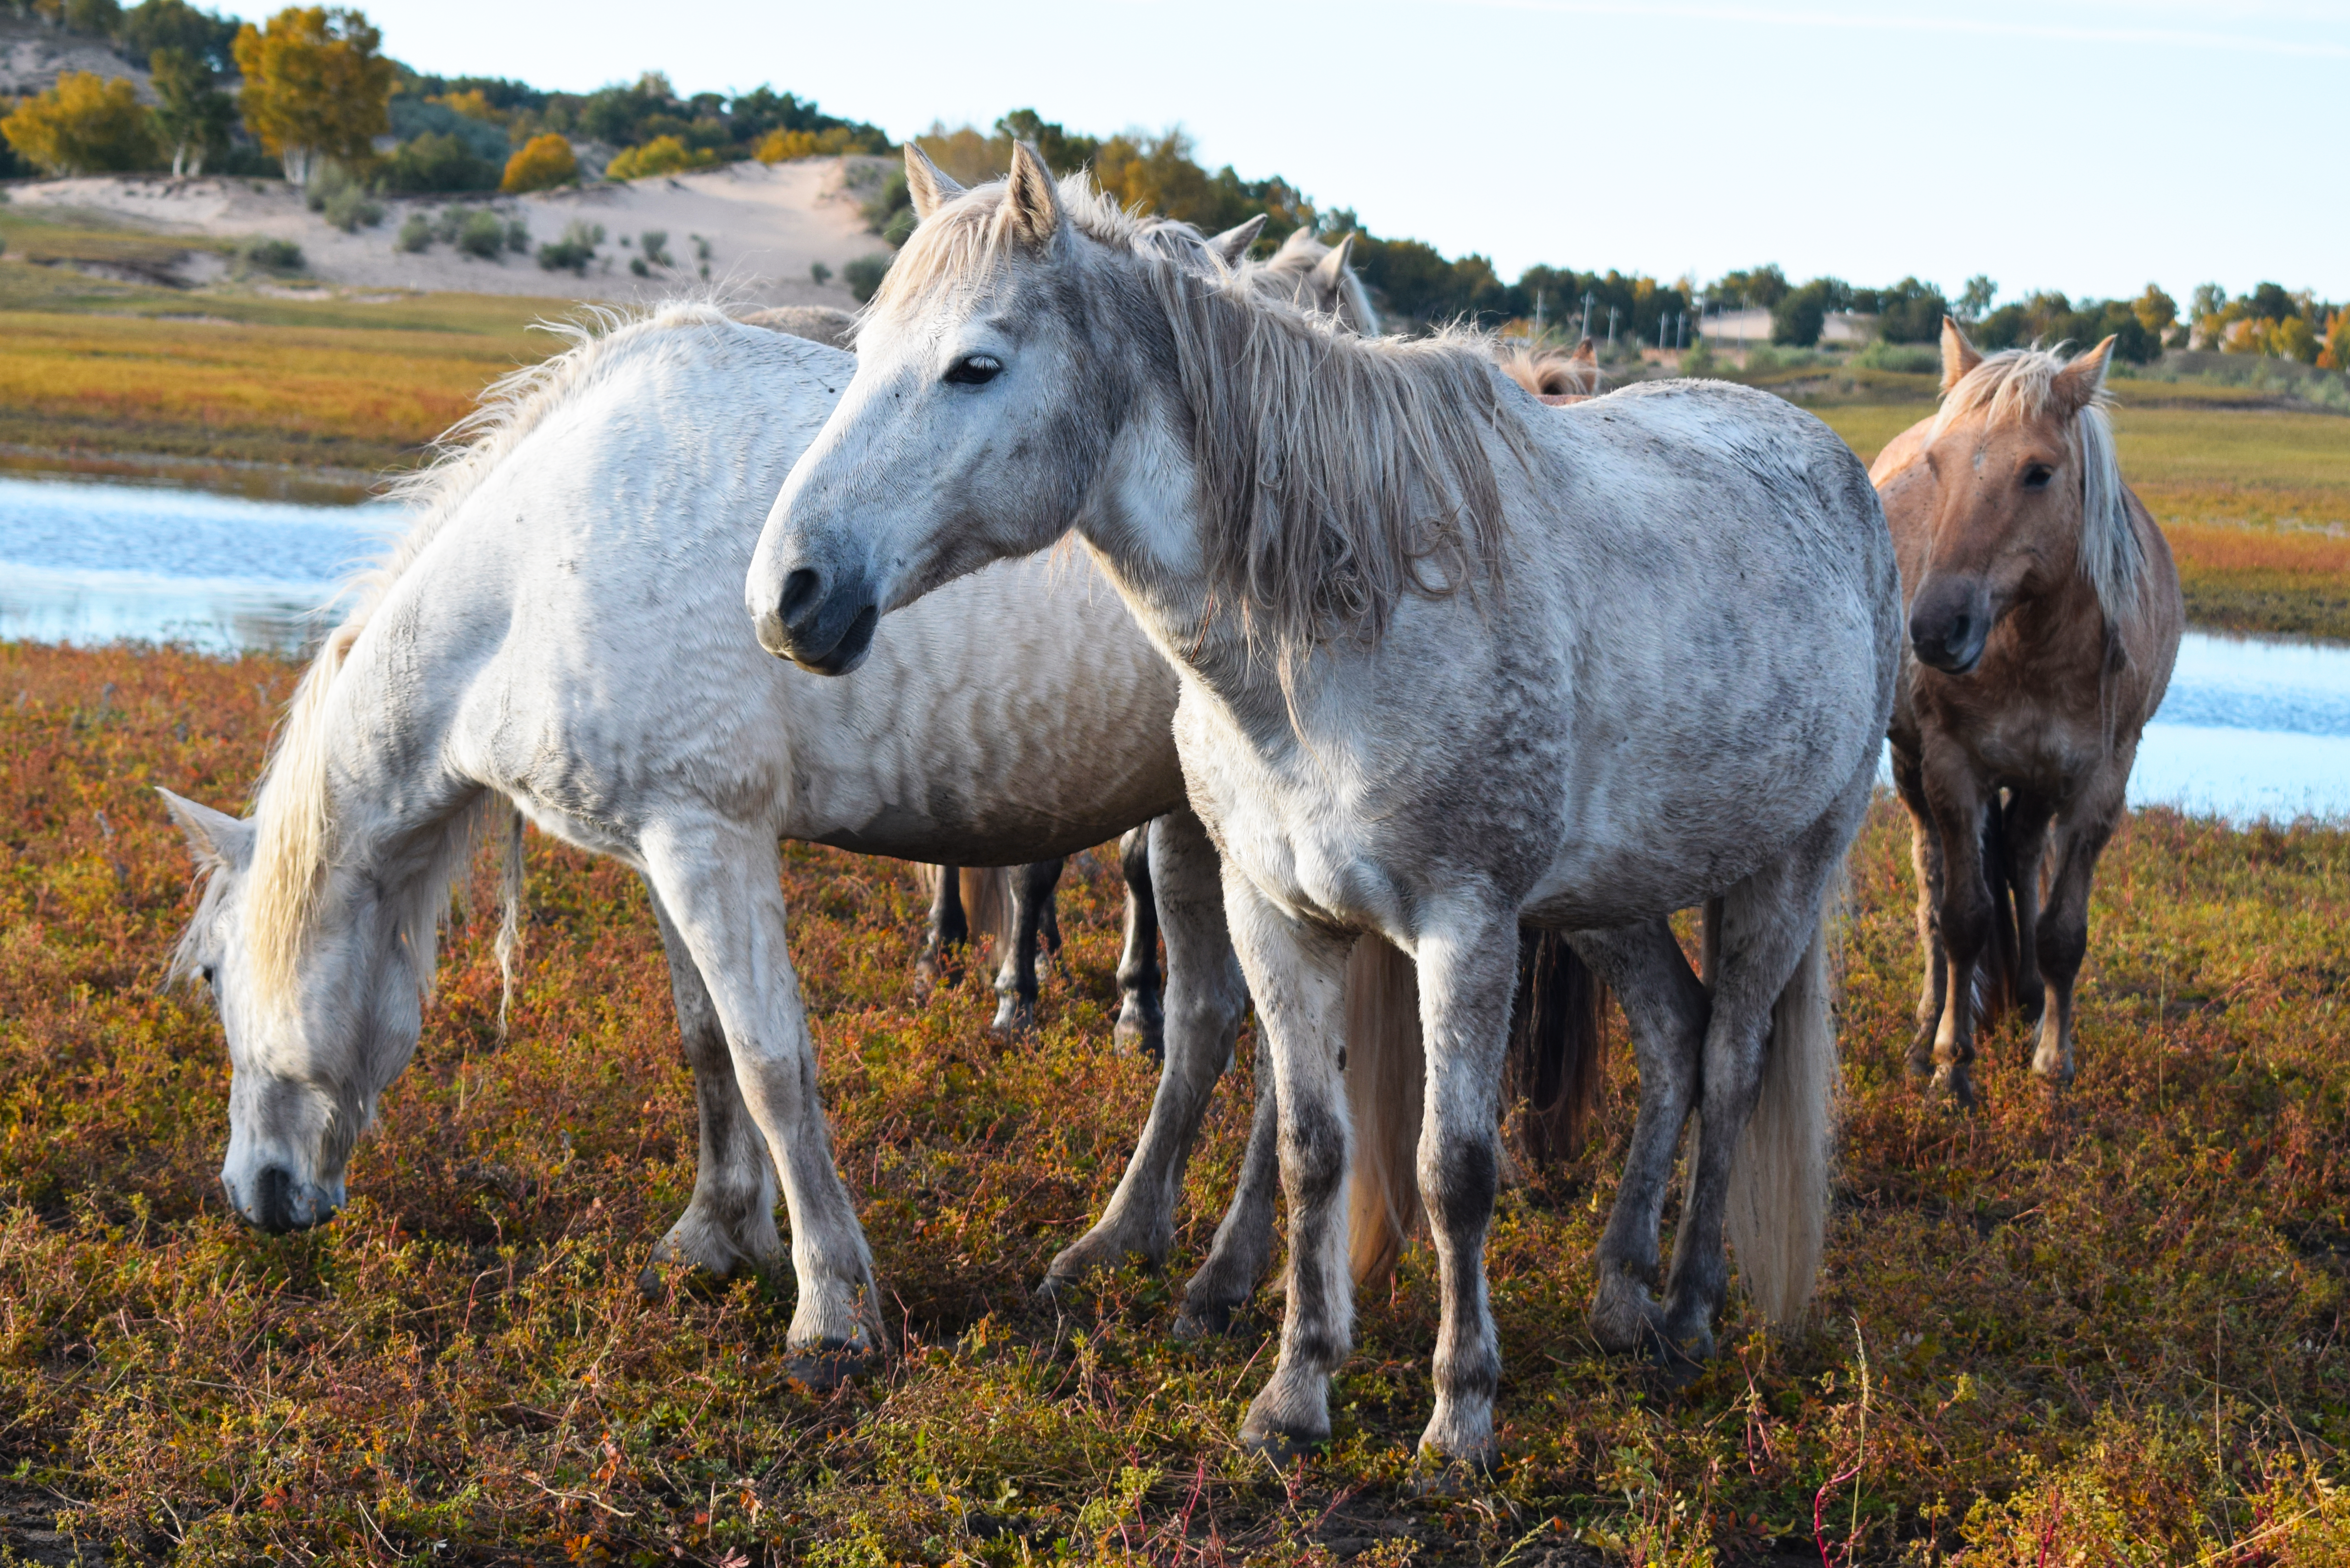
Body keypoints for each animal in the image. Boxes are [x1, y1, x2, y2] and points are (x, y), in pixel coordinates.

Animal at [750, 145, 1898, 1467]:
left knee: (1729, 1060)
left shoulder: (1465, 930)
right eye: (865, 346)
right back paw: (1620, 1291)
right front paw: (1293, 1394)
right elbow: (1310, 1149)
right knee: (1671, 1038)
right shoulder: (1278, 914)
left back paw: (1693, 1312)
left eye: (975, 365)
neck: (1340, 619)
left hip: (1784, 876)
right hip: (1614, 894)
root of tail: (1834, 466)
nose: (791, 592)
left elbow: (1455, 1170)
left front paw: (1460, 1417)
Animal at [1871, 321, 2182, 1106]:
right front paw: (1951, 1062)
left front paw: (2053, 1061)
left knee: (2018, 853)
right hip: (1912, 766)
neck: (2035, 649)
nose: (1933, 629)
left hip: (2041, 782)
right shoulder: (1953, 769)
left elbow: (2063, 930)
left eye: (2039, 473)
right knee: (1932, 884)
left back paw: (2032, 998)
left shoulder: (2100, 780)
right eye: (1937, 466)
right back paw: (1929, 1025)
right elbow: (1961, 917)